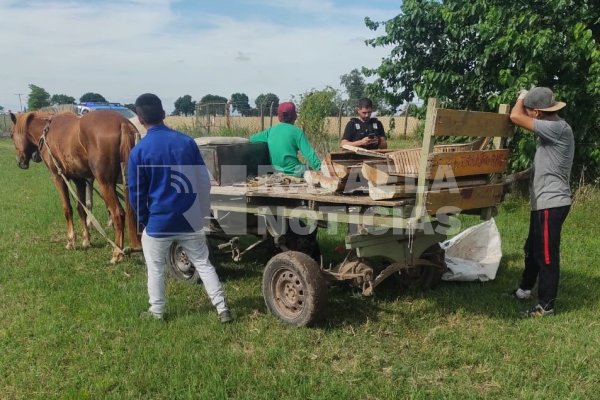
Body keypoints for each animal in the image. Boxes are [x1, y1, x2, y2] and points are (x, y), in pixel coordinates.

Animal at [9, 111, 141, 264]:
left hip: (105, 183)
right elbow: (81, 209)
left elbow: (67, 208)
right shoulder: (80, 180)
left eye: (12, 134)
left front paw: (71, 241)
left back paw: (117, 253)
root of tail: (122, 123)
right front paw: (86, 240)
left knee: (117, 213)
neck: (46, 131)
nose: (20, 162)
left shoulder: (58, 177)